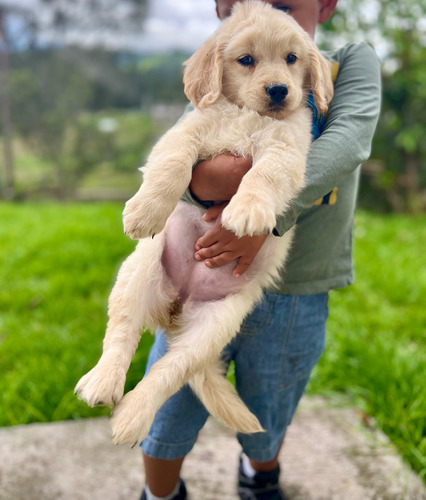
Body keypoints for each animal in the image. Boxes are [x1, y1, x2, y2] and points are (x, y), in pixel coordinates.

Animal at [75, 0, 332, 446]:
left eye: (291, 59)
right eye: (246, 60)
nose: (279, 91)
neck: (245, 113)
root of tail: (175, 307)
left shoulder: (287, 149)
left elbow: (263, 175)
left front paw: (247, 211)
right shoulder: (185, 132)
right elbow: (173, 164)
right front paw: (145, 210)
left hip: (213, 326)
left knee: (170, 370)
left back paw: (131, 416)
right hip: (139, 272)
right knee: (121, 334)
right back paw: (103, 383)